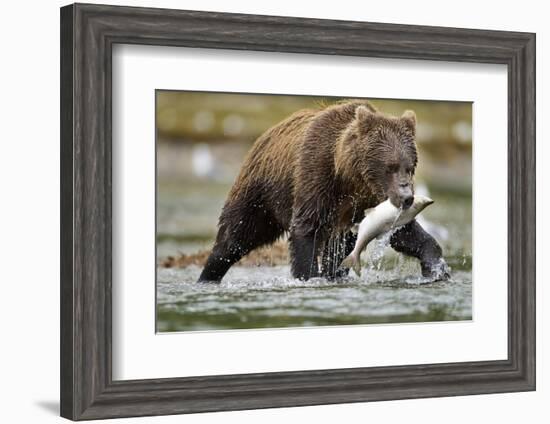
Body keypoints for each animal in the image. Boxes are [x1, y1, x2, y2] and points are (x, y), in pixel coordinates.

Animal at [201, 97, 450, 280]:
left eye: (410, 167)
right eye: (390, 167)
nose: (407, 197)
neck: (349, 177)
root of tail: (264, 136)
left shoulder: (369, 202)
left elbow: (404, 232)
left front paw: (437, 269)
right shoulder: (316, 177)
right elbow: (306, 229)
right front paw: (309, 276)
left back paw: (336, 275)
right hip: (260, 193)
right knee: (235, 237)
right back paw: (208, 276)